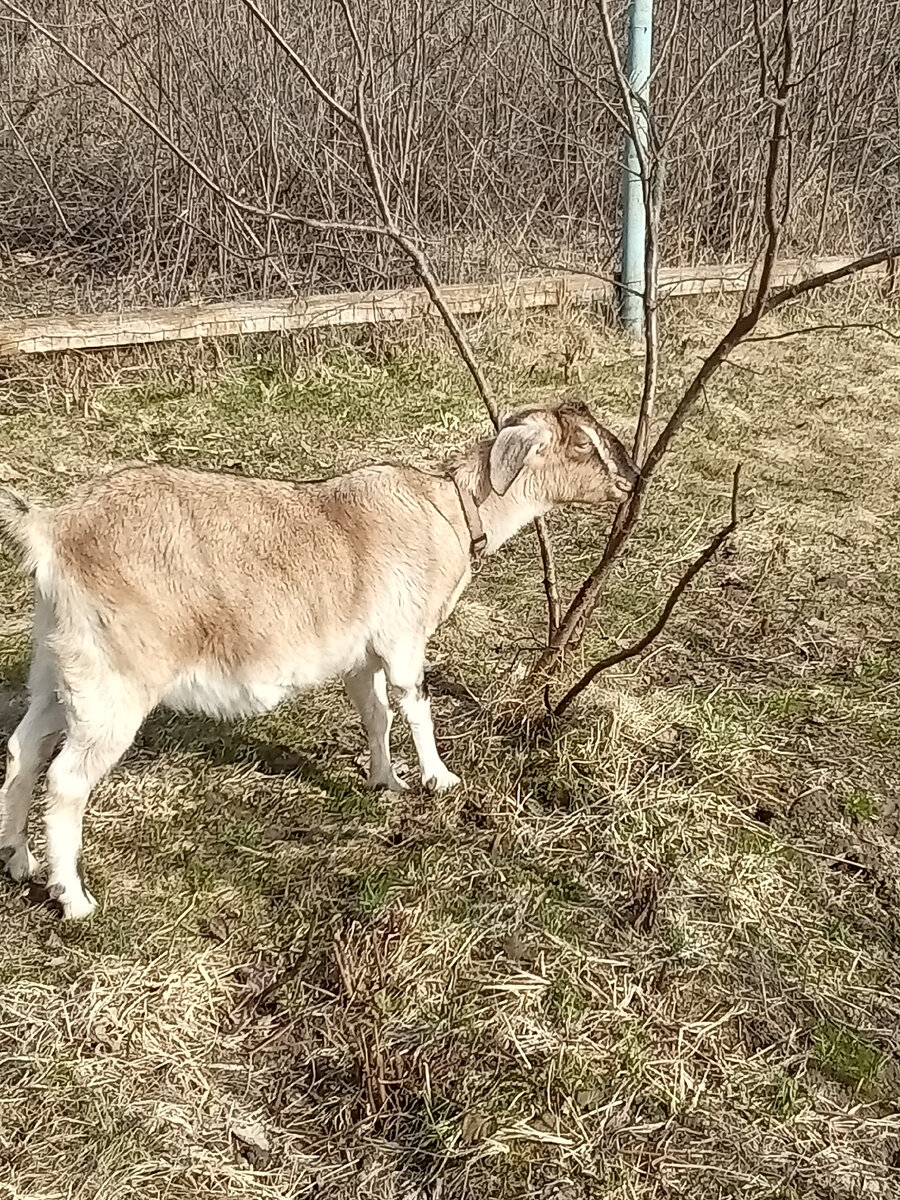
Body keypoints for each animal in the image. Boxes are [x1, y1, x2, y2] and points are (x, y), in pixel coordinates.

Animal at [0, 400, 638, 916]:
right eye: (584, 444)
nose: (631, 481)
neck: (450, 512)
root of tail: (51, 530)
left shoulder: (362, 655)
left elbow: (376, 714)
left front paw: (387, 781)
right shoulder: (403, 638)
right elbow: (415, 705)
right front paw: (439, 779)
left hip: (58, 665)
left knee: (24, 748)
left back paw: (19, 859)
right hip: (113, 678)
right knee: (66, 780)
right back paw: (73, 898)